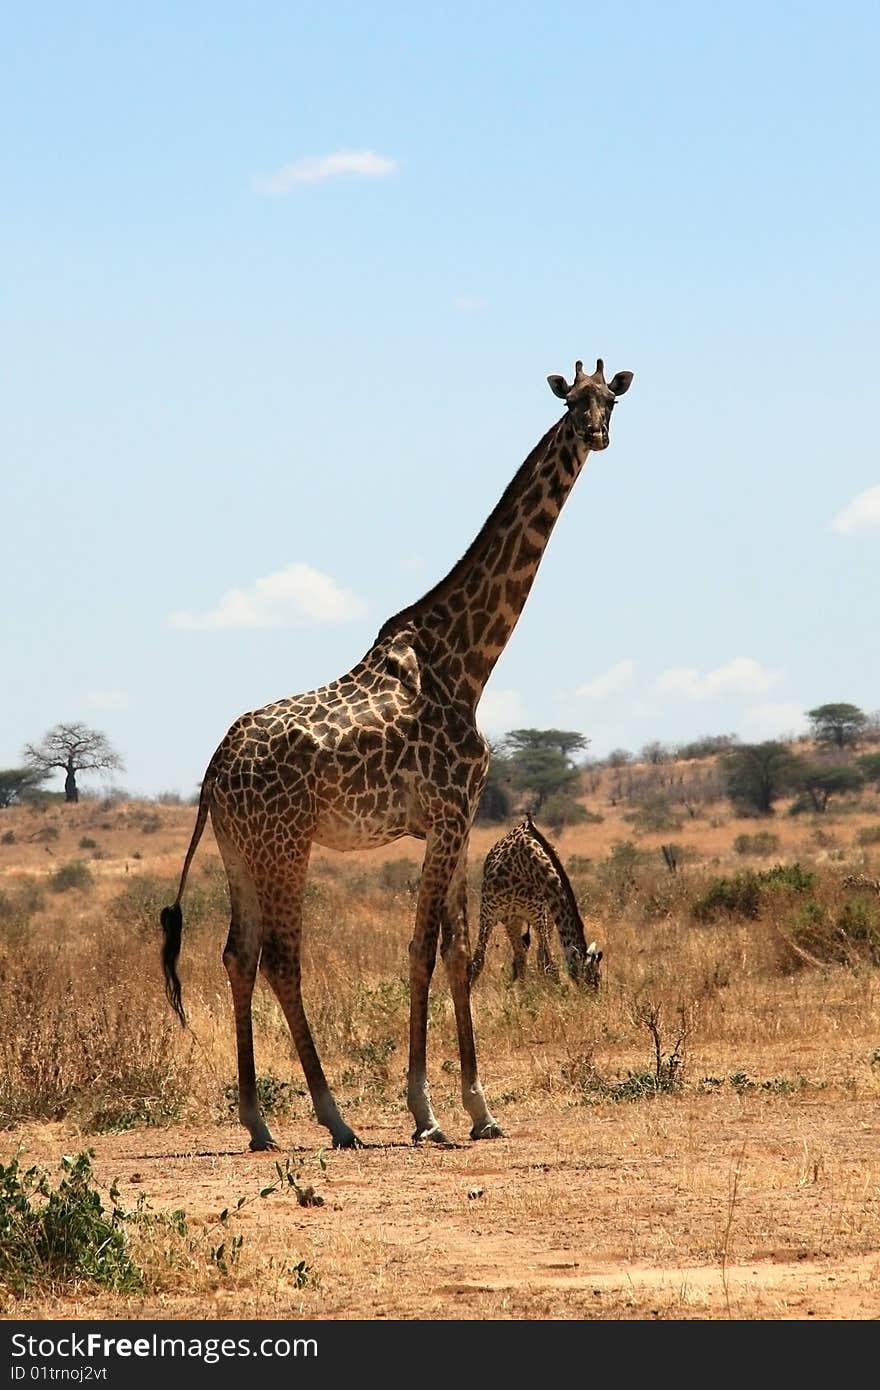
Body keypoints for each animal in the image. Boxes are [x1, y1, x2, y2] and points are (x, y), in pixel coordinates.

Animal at [467, 811, 603, 989]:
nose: (592, 995)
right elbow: (477, 962)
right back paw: (522, 990)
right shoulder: (488, 915)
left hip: (544, 920)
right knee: (520, 956)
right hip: (513, 920)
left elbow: (549, 965)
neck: (523, 868)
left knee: (537, 957)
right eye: (591, 978)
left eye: (598, 978)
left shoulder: (538, 918)